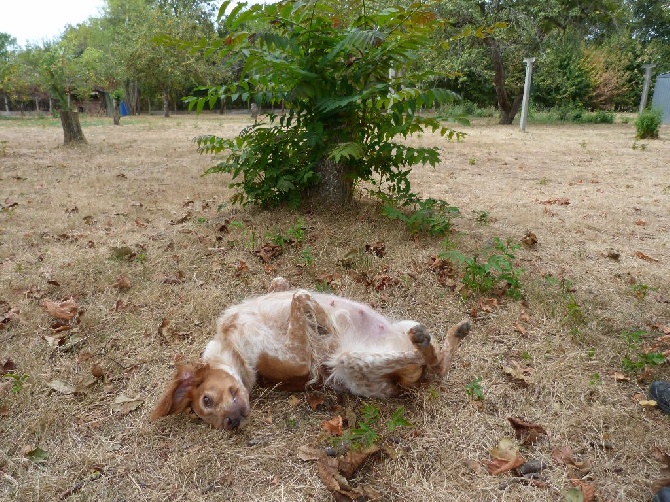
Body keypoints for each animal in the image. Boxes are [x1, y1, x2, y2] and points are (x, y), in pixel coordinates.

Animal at [152, 276, 470, 430]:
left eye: (206, 399)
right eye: (207, 412)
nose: (230, 424)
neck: (231, 344)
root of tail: (409, 385)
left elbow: (286, 285)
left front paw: (320, 315)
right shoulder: (299, 357)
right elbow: (300, 297)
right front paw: (322, 320)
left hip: (402, 325)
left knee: (439, 359)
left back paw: (453, 332)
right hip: (350, 362)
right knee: (433, 365)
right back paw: (428, 343)